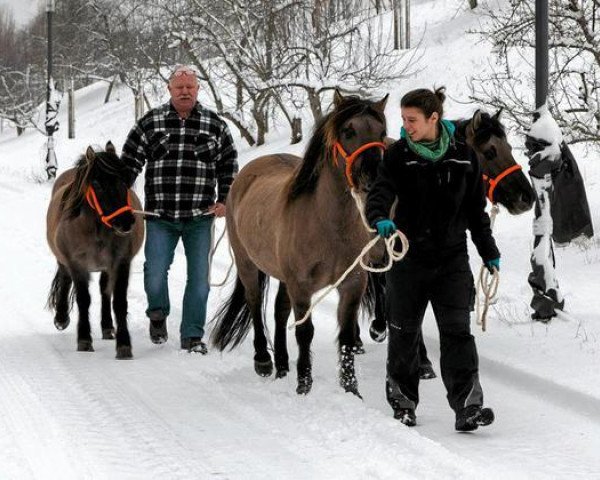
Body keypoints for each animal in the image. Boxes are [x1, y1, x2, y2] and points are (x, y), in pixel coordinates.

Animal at [46, 142, 144, 360]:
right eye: (97, 185)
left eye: (125, 180)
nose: (125, 221)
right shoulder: (77, 265)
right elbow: (84, 300)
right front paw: (84, 339)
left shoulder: (120, 263)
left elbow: (119, 302)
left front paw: (124, 345)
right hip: (63, 260)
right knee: (65, 278)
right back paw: (61, 317)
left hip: (106, 266)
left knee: (105, 291)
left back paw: (107, 327)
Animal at [211, 91, 390, 398]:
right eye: (349, 130)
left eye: (381, 132)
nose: (375, 174)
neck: (328, 225)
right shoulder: (302, 286)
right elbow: (305, 332)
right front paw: (304, 385)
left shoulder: (352, 284)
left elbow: (345, 336)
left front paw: (351, 389)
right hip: (248, 265)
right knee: (255, 304)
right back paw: (264, 361)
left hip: (283, 277)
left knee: (279, 311)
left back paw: (283, 365)